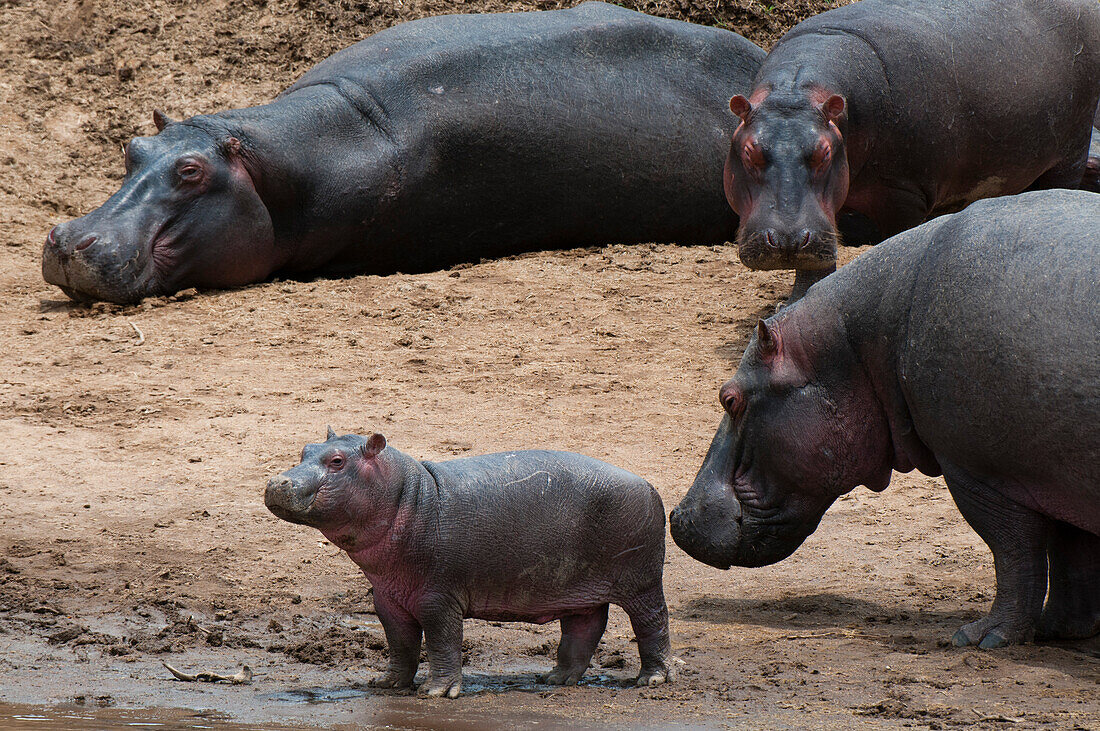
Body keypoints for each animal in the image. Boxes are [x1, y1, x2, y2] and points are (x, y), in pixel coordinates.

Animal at [268, 428, 677, 694]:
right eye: (305, 449)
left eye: (337, 460)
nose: (276, 482)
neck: (408, 495)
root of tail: (649, 485)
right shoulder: (387, 599)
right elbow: (400, 643)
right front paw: (387, 684)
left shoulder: (437, 598)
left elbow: (442, 641)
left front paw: (436, 692)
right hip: (577, 589)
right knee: (583, 629)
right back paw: (554, 679)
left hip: (641, 582)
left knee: (653, 624)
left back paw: (651, 680)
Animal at [668, 191, 1100, 646]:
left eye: (729, 398)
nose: (677, 516)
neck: (861, 342)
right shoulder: (1055, 473)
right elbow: (1073, 555)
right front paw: (1061, 630)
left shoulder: (981, 473)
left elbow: (1013, 553)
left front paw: (981, 637)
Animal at [721, 0, 1100, 298]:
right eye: (749, 150)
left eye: (825, 152)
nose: (786, 240)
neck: (797, 92)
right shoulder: (824, 213)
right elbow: (813, 266)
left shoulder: (903, 196)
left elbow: (896, 245)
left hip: (1071, 151)